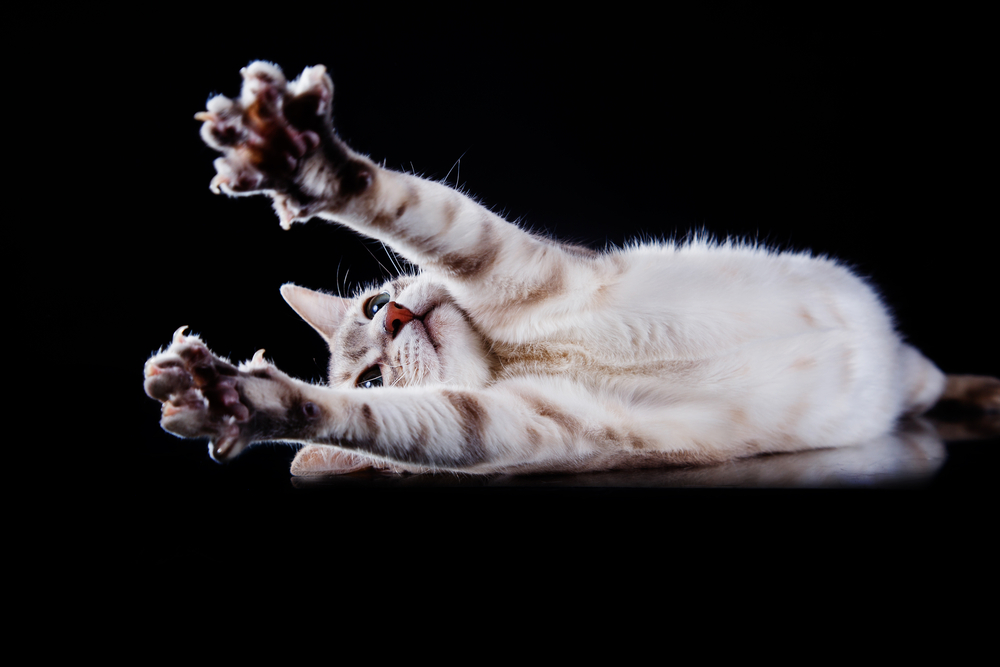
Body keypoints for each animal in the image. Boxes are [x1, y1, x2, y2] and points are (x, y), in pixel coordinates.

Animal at [143, 62, 1000, 478]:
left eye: (377, 304)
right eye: (374, 378)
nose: (399, 315)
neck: (515, 353)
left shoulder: (510, 263)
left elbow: (406, 207)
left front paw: (300, 159)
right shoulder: (517, 426)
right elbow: (376, 423)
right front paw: (236, 399)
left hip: (914, 365)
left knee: (943, 379)